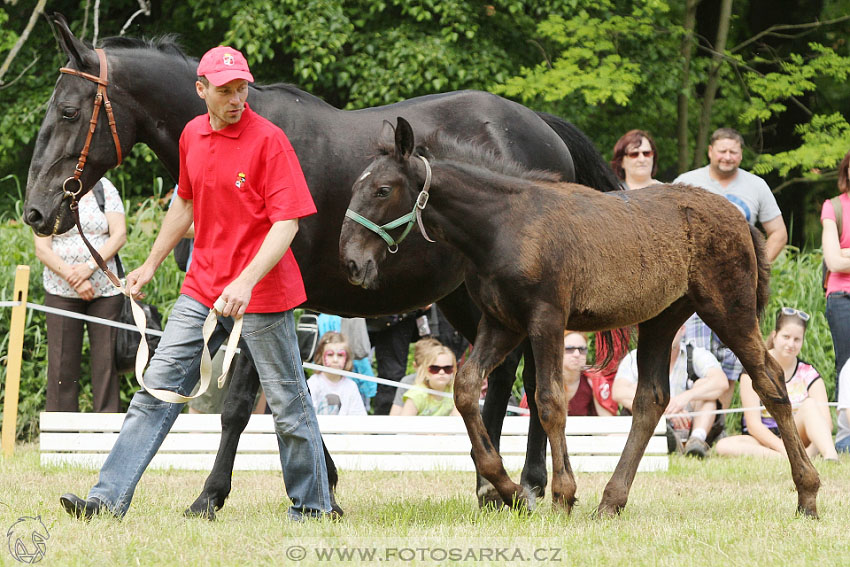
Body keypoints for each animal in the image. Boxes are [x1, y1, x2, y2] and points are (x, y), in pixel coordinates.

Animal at [23, 13, 620, 520]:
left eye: (69, 112)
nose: (37, 211)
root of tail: (540, 126)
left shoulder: (263, 302)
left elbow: (241, 405)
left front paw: (211, 495)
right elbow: (292, 400)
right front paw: (325, 481)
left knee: (528, 374)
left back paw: (527, 483)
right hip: (463, 294)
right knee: (501, 373)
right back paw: (494, 485)